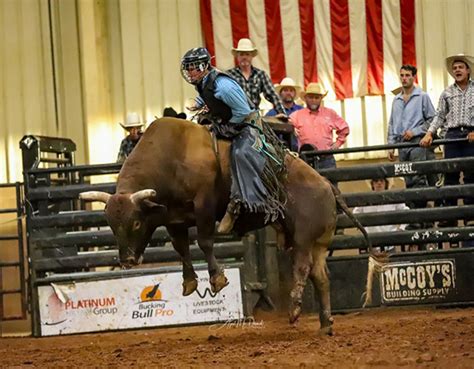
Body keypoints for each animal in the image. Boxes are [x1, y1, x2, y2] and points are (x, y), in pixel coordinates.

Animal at [80, 118, 370, 334]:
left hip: (303, 237)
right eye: (111, 225)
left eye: (137, 222)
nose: (127, 260)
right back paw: (325, 323)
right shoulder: (174, 219)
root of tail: (327, 185)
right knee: (321, 276)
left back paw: (295, 309)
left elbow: (205, 241)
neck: (171, 158)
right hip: (319, 242)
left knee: (302, 266)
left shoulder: (204, 205)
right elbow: (181, 247)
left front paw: (217, 278)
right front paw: (189, 282)